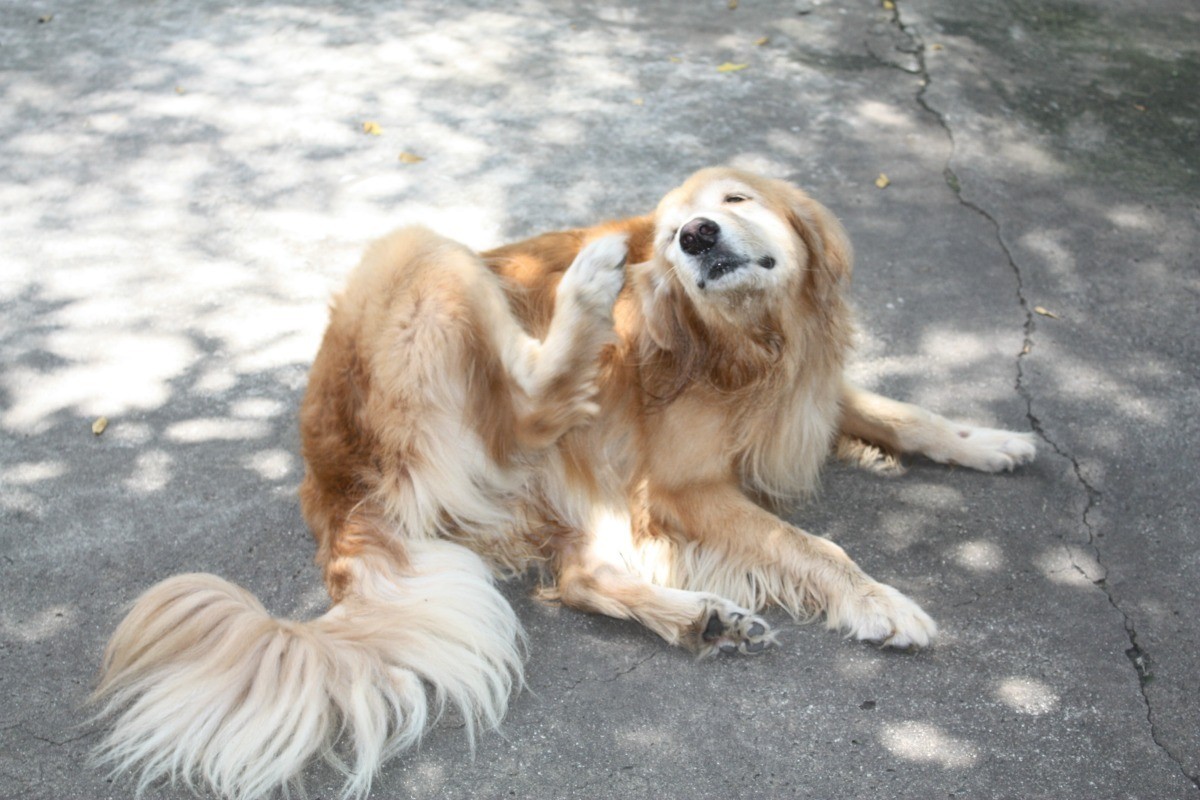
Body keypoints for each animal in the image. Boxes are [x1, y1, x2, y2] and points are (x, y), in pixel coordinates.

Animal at [93, 169, 1036, 800]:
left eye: (734, 199)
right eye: (674, 231)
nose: (692, 237)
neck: (749, 343)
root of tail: (329, 484)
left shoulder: (809, 397)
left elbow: (907, 414)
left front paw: (991, 441)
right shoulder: (684, 487)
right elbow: (812, 544)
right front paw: (879, 601)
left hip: (576, 479)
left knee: (579, 576)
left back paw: (701, 618)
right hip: (424, 260)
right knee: (527, 407)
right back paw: (585, 286)